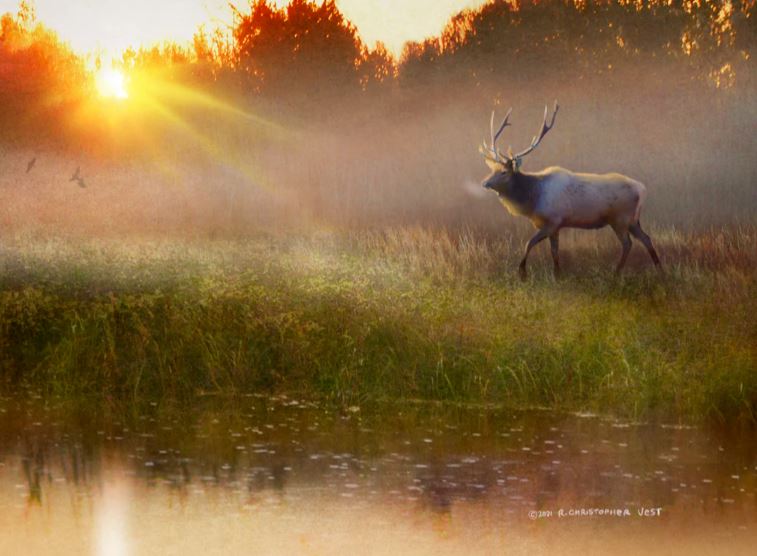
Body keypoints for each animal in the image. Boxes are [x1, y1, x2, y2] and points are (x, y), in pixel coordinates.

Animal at [478, 101, 660, 278]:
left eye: (503, 172)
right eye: (492, 170)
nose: (484, 183)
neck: (533, 199)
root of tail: (642, 189)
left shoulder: (553, 220)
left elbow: (529, 243)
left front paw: (522, 272)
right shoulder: (556, 225)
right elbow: (554, 251)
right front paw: (557, 274)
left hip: (620, 218)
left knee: (628, 243)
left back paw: (616, 272)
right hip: (633, 220)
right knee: (646, 238)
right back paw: (659, 269)